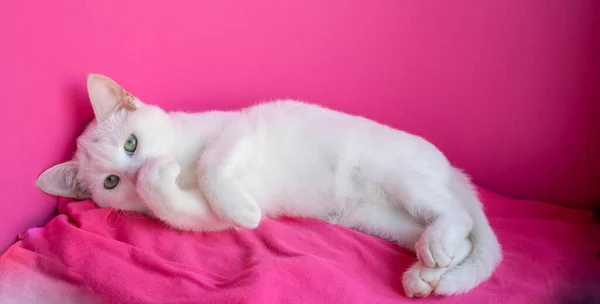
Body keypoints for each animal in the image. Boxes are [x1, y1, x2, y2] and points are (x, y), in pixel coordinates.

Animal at [37, 73, 502, 296]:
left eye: (131, 143)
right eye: (112, 181)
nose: (135, 173)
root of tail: (451, 167)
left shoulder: (238, 129)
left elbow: (211, 163)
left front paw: (169, 171)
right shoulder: (201, 215)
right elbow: (184, 211)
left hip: (394, 173)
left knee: (457, 214)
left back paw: (437, 246)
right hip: (377, 218)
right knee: (458, 237)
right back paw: (427, 271)